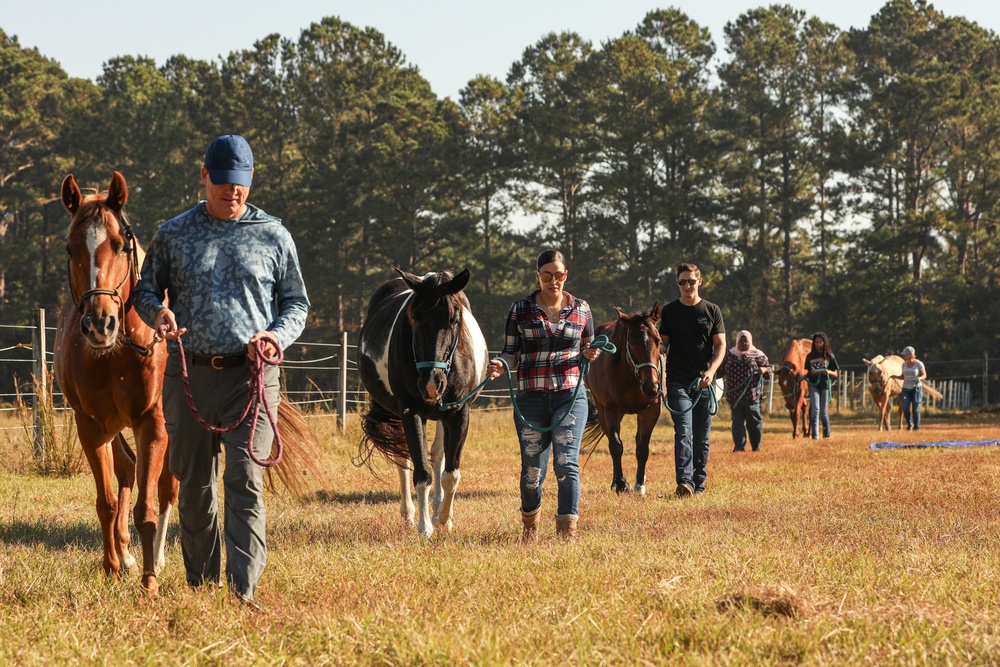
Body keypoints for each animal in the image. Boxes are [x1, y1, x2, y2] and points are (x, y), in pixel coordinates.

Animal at [54, 171, 177, 596]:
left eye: (120, 245)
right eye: (71, 248)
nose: (99, 323)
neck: (117, 353)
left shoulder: (152, 423)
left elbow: (148, 507)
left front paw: (150, 581)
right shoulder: (90, 426)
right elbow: (106, 500)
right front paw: (111, 567)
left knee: (168, 487)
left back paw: (156, 558)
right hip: (112, 428)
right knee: (125, 471)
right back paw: (124, 555)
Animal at [358, 268, 490, 540]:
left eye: (454, 319)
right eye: (415, 319)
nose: (432, 383)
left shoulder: (459, 413)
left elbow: (450, 473)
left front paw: (444, 519)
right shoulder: (411, 412)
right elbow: (421, 473)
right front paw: (424, 526)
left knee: (437, 455)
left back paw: (437, 507)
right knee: (403, 458)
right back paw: (409, 514)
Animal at [584, 302, 664, 496]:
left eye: (658, 341)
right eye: (633, 343)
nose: (652, 387)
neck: (633, 378)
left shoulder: (651, 410)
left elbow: (642, 447)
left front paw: (639, 485)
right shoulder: (611, 410)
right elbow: (616, 446)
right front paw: (621, 484)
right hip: (602, 409)